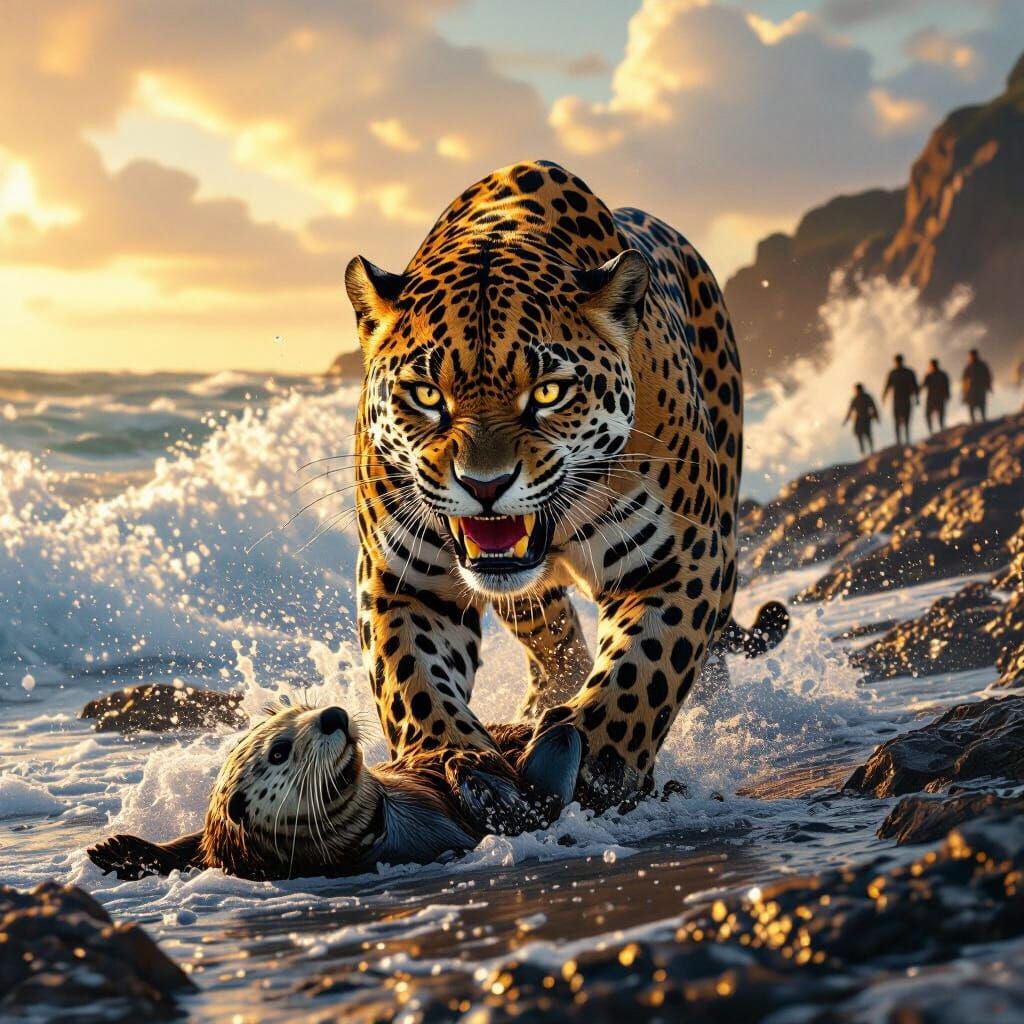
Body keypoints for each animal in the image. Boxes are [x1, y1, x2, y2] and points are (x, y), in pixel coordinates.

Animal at [344, 159, 788, 814]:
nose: (485, 485)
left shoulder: (685, 559)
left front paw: (592, 761)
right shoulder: (405, 582)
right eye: (425, 395)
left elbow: (646, 668)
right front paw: (457, 763)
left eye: (549, 392)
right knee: (552, 636)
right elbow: (412, 681)